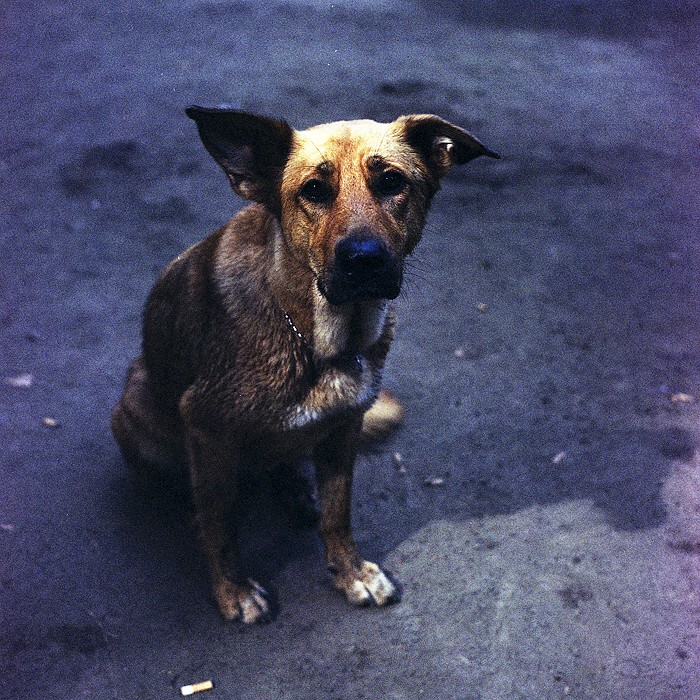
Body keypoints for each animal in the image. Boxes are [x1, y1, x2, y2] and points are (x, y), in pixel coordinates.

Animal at [110, 108, 498, 624]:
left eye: (392, 182)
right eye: (313, 190)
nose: (363, 260)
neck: (316, 337)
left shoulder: (345, 424)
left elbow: (338, 512)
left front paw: (350, 572)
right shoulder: (207, 430)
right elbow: (220, 523)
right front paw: (232, 590)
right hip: (135, 407)